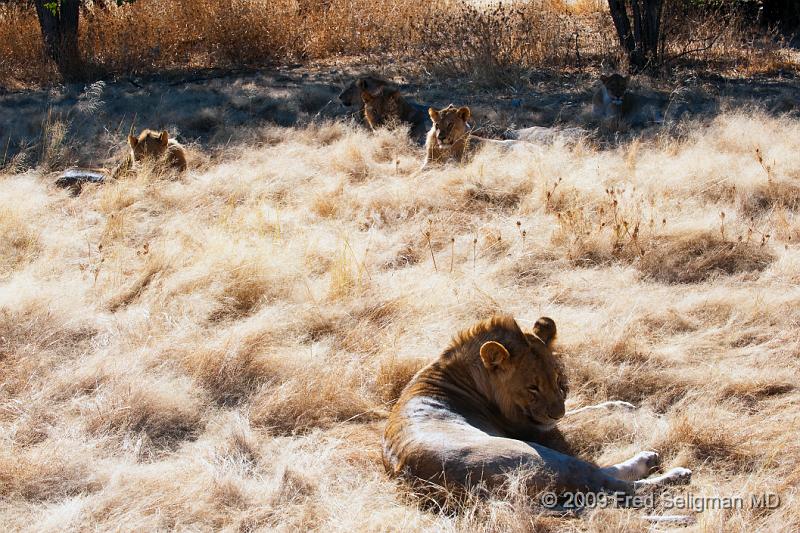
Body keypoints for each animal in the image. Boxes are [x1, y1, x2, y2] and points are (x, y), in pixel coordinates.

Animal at [380, 314, 688, 496]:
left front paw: (622, 405)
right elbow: (581, 415)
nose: (557, 412)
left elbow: (584, 409)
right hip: (538, 454)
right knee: (609, 483)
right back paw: (668, 471)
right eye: (532, 387)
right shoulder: (538, 430)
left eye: (558, 380)